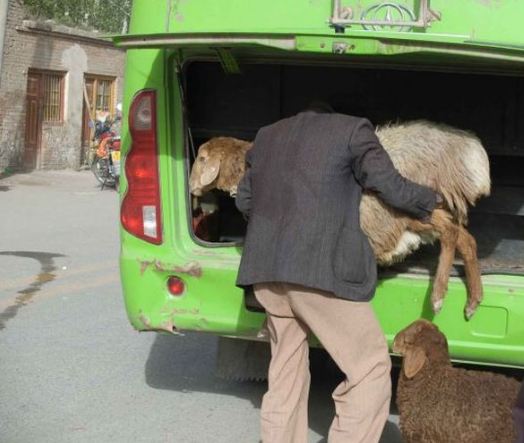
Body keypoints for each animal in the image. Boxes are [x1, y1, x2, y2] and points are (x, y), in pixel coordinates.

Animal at [189, 120, 492, 320]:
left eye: (201, 159)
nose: (191, 188)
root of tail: (465, 150)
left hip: (406, 211)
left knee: (451, 233)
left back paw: (438, 297)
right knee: (465, 238)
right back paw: (473, 301)